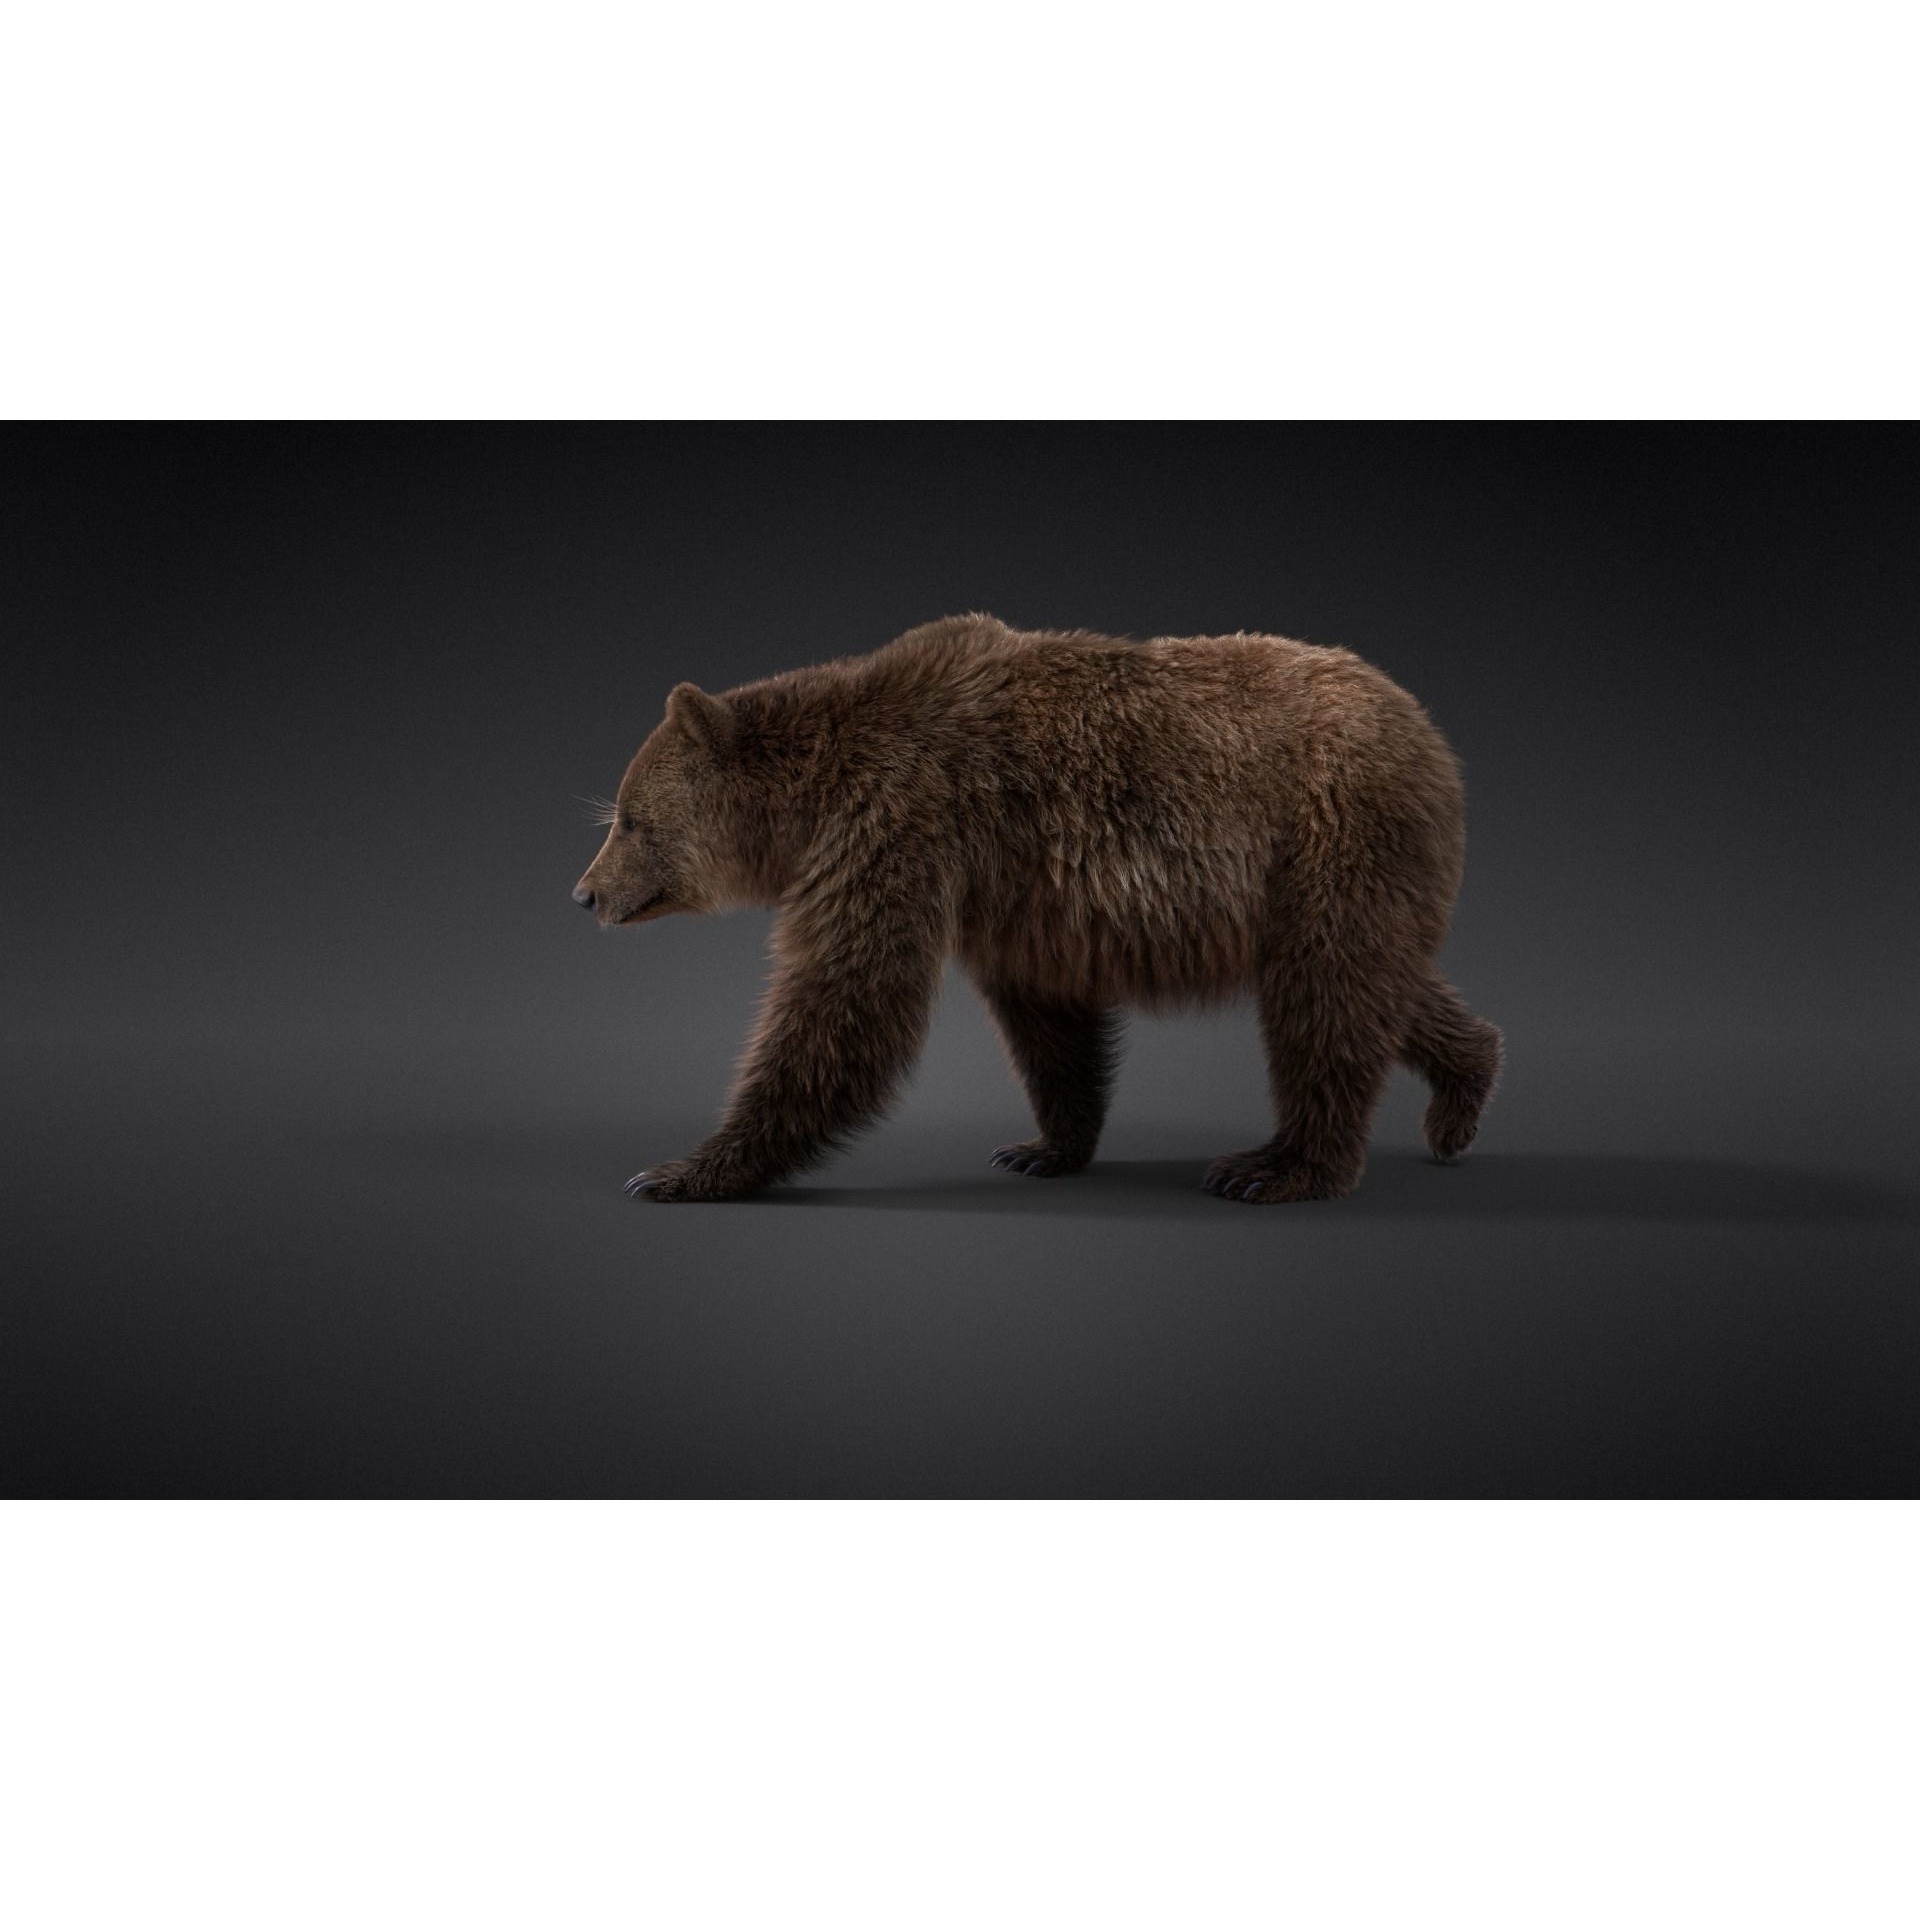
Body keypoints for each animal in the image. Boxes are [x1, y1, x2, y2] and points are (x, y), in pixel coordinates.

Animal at [571, 614, 1503, 1204]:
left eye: (628, 818)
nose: (583, 893)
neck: (809, 799)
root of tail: (1427, 728)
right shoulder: (1012, 892)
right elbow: (1046, 1018)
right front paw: (1043, 1146)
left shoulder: (900, 819)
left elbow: (845, 999)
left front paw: (679, 1171)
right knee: (1383, 986)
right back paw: (1464, 1091)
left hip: (1329, 832)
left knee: (1327, 996)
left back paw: (1274, 1167)